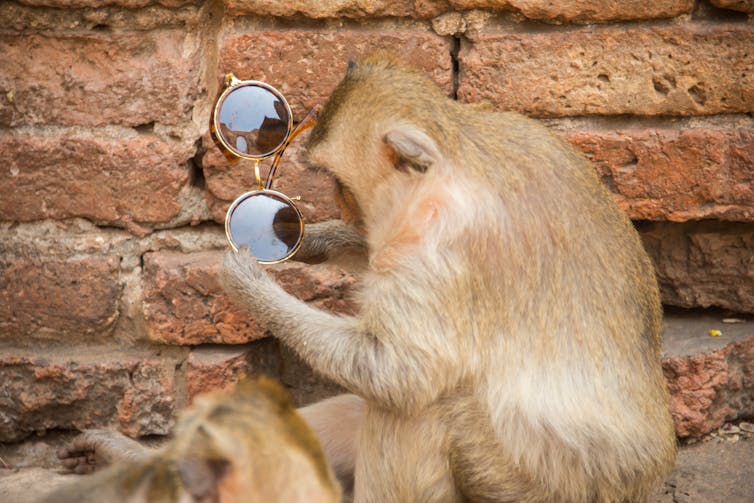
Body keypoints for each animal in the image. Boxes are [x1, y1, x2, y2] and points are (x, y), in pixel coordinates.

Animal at [219, 52, 677, 502]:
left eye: (339, 184)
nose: (345, 210)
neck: (454, 164)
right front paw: (308, 238)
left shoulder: (441, 255)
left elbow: (396, 373)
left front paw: (250, 286)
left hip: (529, 483)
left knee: (419, 407)